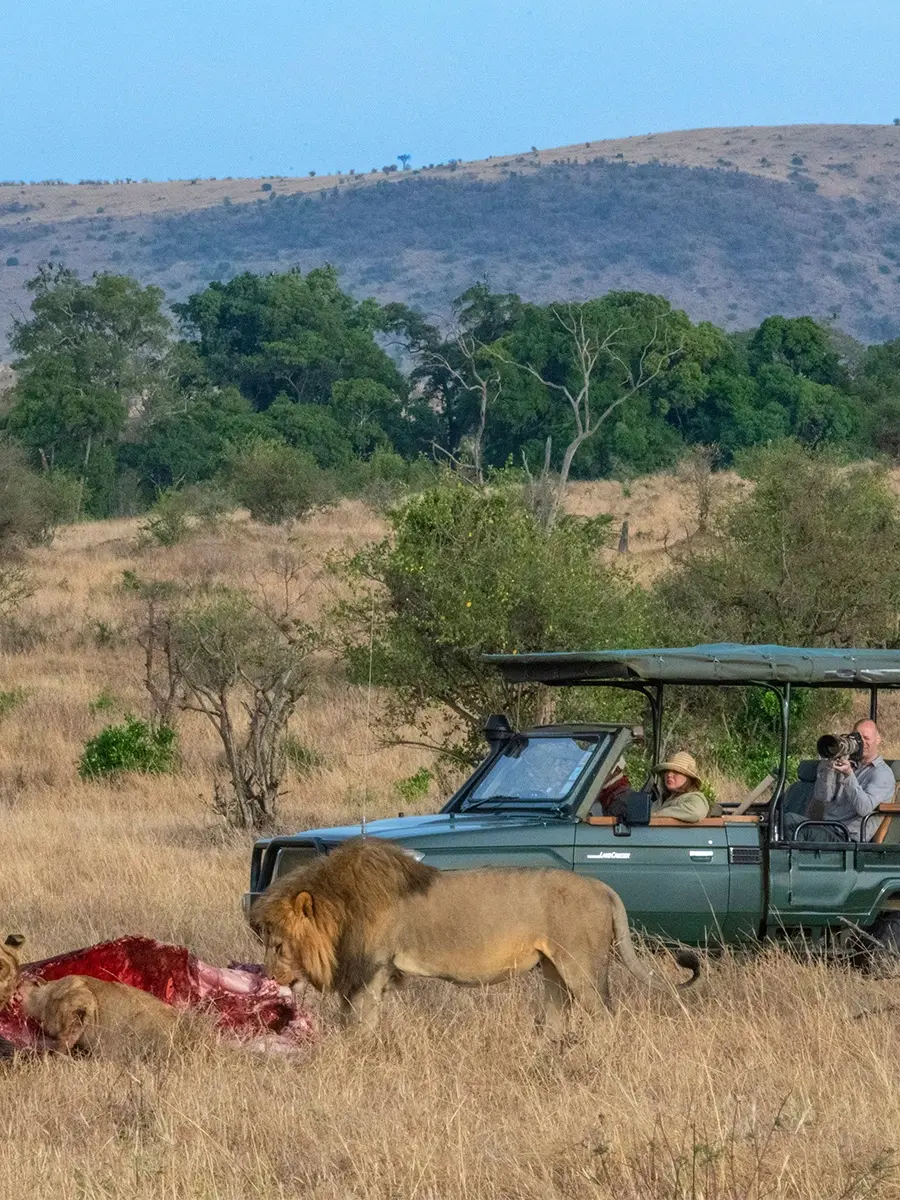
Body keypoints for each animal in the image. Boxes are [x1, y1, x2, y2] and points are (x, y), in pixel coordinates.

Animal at [251, 837, 701, 1031]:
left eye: (278, 944)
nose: (268, 977)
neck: (341, 909)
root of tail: (602, 886)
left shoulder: (371, 970)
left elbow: (360, 1024)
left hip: (583, 968)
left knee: (606, 1016)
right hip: (553, 970)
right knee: (557, 1020)